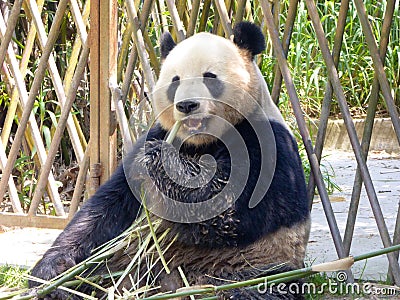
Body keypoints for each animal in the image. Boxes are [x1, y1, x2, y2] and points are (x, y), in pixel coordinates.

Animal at [29, 22, 310, 300]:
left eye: (210, 77)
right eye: (175, 81)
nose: (187, 105)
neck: (201, 141)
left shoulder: (264, 141)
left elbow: (228, 210)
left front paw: (161, 160)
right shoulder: (156, 135)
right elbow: (106, 209)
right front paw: (50, 273)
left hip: (254, 262)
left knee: (255, 288)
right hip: (129, 260)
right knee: (99, 268)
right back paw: (63, 288)